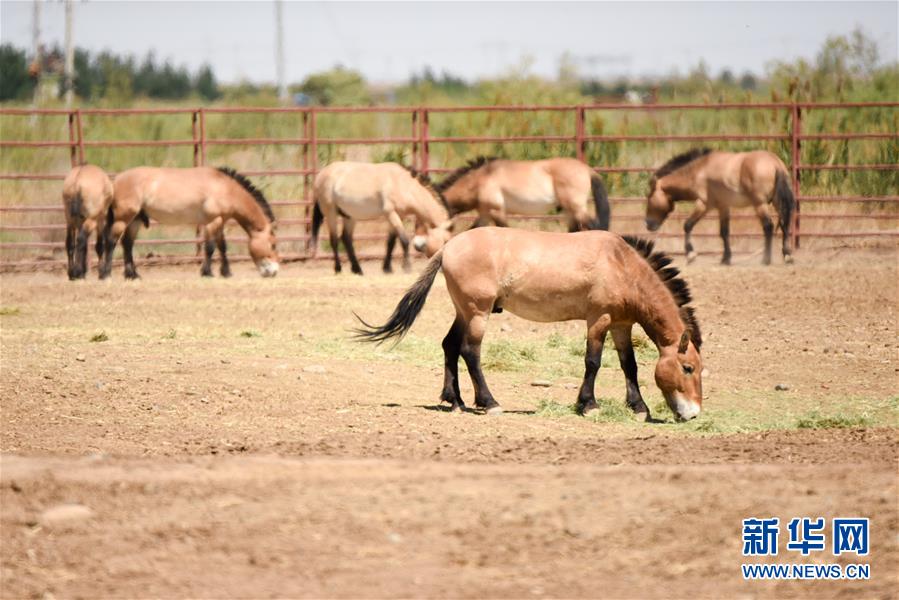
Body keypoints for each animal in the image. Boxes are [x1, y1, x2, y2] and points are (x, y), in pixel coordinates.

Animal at [100, 165, 280, 280]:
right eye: (273, 245)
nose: (274, 271)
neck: (225, 189)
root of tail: (116, 181)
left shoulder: (220, 221)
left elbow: (222, 247)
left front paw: (226, 272)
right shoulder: (212, 222)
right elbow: (210, 247)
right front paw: (207, 272)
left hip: (135, 220)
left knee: (127, 244)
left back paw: (133, 275)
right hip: (123, 219)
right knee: (111, 242)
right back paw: (105, 274)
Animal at [312, 161, 454, 276]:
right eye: (446, 241)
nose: (444, 268)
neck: (403, 185)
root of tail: (320, 175)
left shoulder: (399, 215)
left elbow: (391, 242)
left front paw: (387, 268)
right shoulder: (390, 213)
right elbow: (404, 240)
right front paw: (407, 267)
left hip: (349, 216)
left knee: (346, 239)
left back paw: (357, 269)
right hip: (330, 213)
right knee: (334, 240)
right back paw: (338, 269)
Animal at [356, 227, 708, 424]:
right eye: (688, 368)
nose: (693, 413)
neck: (621, 264)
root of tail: (447, 247)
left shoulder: (621, 324)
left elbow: (628, 365)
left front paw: (639, 408)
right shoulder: (599, 319)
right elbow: (592, 361)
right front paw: (588, 405)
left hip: (464, 311)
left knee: (449, 346)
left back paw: (455, 402)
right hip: (478, 313)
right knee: (470, 352)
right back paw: (489, 403)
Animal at [430, 156, 612, 231]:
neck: (481, 179)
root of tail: (588, 170)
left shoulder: (496, 211)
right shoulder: (485, 214)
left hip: (577, 208)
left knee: (594, 226)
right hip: (570, 212)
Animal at [648, 148, 796, 264]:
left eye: (649, 198)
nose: (648, 224)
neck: (700, 171)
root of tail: (775, 164)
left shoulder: (704, 204)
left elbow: (688, 225)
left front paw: (690, 255)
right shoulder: (723, 206)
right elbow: (724, 232)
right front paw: (726, 258)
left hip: (760, 204)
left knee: (768, 226)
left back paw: (766, 259)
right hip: (777, 202)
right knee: (784, 225)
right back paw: (787, 255)